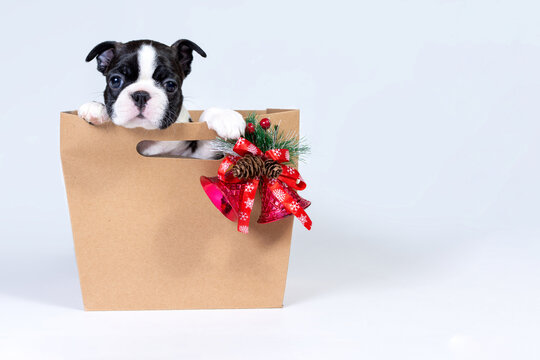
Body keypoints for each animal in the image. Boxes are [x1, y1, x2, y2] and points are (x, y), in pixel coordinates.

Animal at [77, 38, 245, 158]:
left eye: (170, 85)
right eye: (115, 80)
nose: (141, 95)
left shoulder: (199, 155)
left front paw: (224, 116)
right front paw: (96, 107)